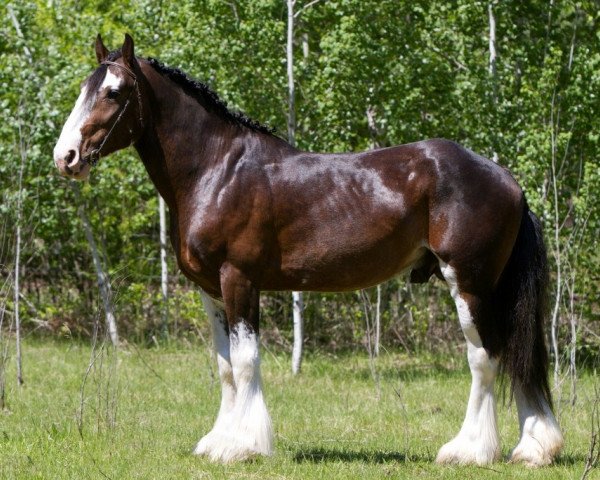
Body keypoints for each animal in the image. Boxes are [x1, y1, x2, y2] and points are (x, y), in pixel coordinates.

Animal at [51, 32, 564, 464]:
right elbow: (224, 368)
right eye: (84, 88)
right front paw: (218, 441)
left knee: (486, 357)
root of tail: (506, 179)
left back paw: (469, 451)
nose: (65, 157)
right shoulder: (211, 290)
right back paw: (532, 449)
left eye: (114, 92)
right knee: (515, 356)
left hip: (470, 285)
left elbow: (245, 361)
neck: (216, 170)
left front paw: (243, 446)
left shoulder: (240, 279)